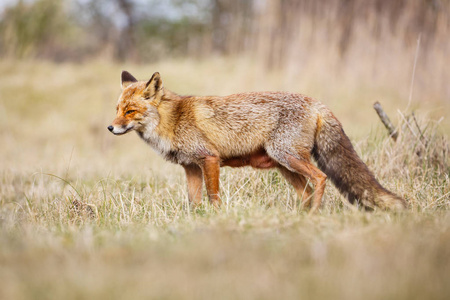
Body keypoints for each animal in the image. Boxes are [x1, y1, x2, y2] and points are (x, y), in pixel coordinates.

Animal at [107, 70, 406, 212]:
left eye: (130, 112)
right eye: (117, 109)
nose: (110, 127)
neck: (172, 120)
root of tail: (316, 102)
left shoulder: (209, 159)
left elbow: (213, 196)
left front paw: (217, 218)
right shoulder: (190, 167)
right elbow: (194, 202)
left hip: (286, 156)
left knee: (320, 179)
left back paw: (313, 215)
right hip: (284, 165)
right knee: (307, 191)